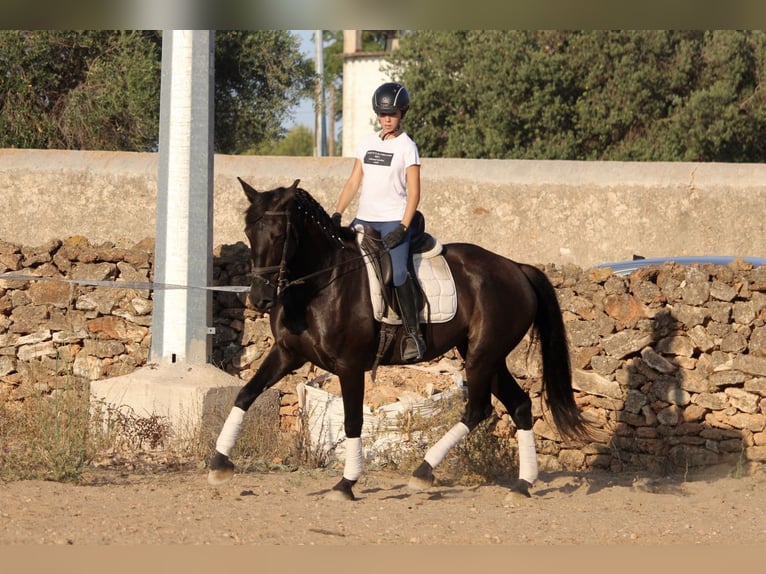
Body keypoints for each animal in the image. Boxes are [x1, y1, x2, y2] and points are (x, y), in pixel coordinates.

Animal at [207, 179, 592, 500]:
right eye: (248, 232)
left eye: (279, 235)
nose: (259, 299)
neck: (320, 284)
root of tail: (516, 268)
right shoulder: (287, 353)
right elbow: (245, 394)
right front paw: (218, 463)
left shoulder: (349, 366)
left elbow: (352, 421)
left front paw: (346, 483)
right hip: (487, 355)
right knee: (520, 405)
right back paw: (523, 484)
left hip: (483, 355)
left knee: (478, 409)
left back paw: (424, 471)